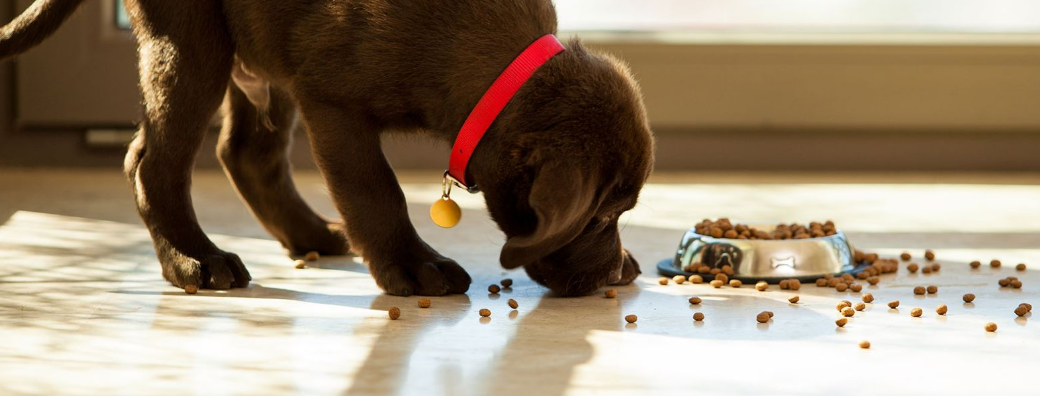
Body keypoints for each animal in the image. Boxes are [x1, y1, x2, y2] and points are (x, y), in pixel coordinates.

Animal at [2, 0, 648, 295]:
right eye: (601, 217)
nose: (617, 274)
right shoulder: (335, 103)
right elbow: (376, 193)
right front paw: (415, 265)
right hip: (194, 38)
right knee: (151, 161)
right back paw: (193, 260)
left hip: (262, 53)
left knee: (245, 153)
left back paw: (310, 235)